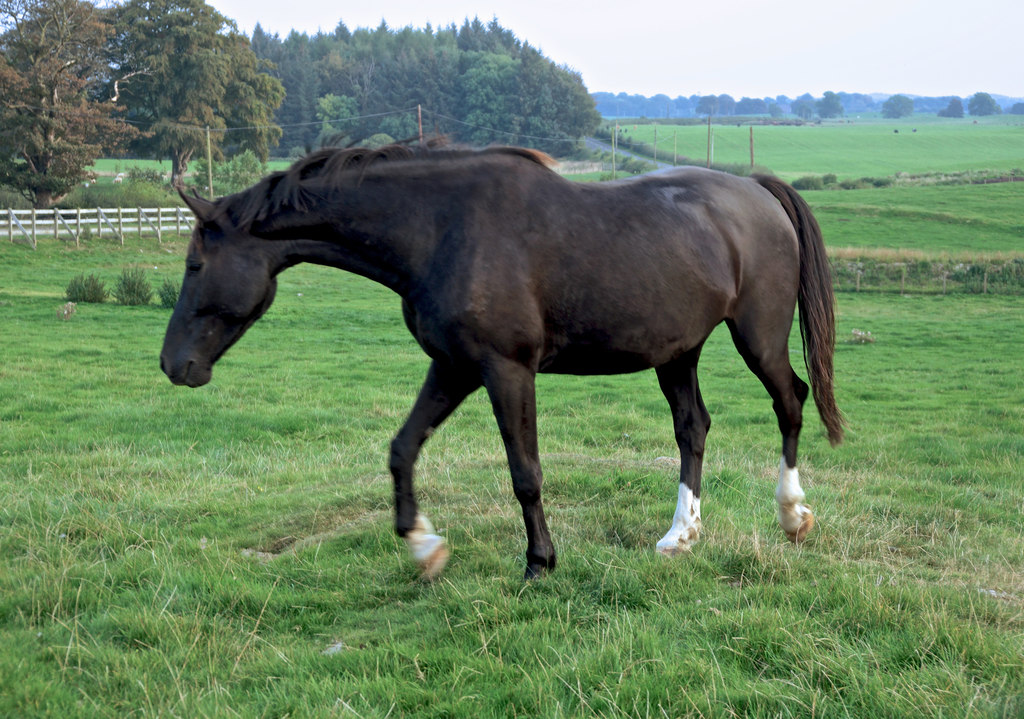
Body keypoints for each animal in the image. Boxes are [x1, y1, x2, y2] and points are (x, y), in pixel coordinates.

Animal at [163, 143, 843, 581]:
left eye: (195, 264)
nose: (174, 365)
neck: (441, 229)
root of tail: (757, 190)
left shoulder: (506, 370)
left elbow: (526, 473)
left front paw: (540, 562)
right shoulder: (454, 367)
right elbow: (402, 448)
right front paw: (423, 547)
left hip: (757, 336)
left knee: (790, 400)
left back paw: (792, 515)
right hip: (677, 353)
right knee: (693, 428)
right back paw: (681, 535)